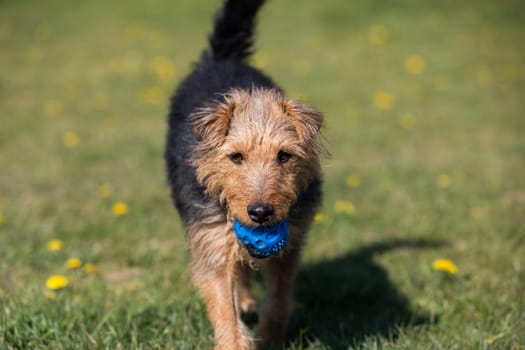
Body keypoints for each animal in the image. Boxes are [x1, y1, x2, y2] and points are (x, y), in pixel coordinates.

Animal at [165, 0, 324, 348]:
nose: (261, 212)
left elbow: (278, 301)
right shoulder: (212, 241)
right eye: (236, 157)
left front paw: (270, 338)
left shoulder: (289, 247)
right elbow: (225, 308)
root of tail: (222, 58)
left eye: (284, 156)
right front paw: (235, 341)